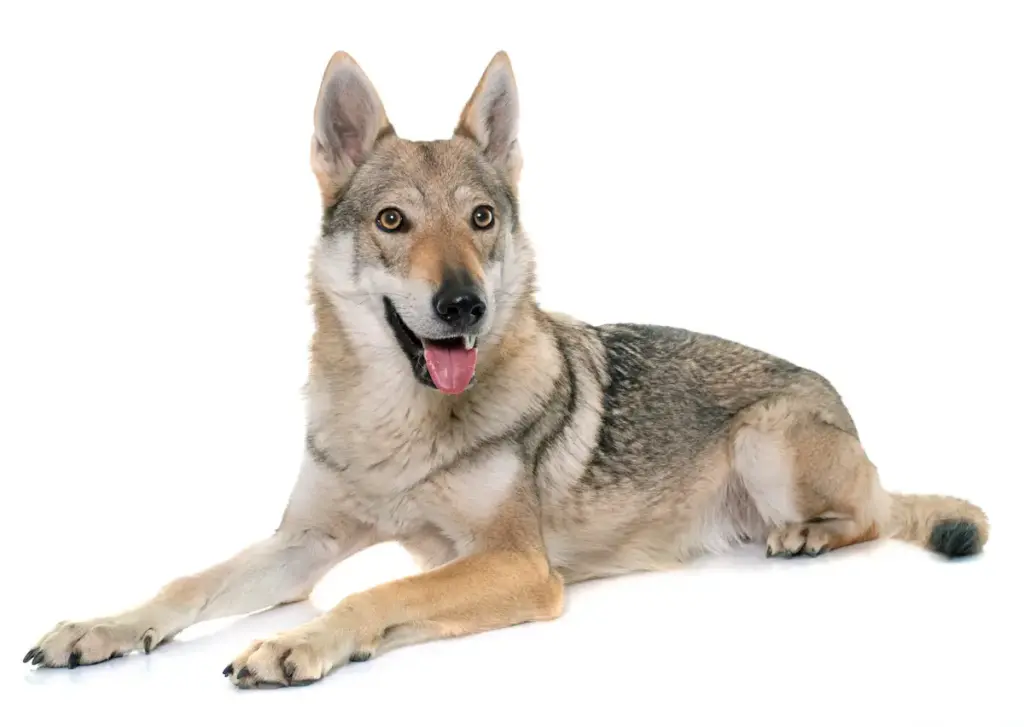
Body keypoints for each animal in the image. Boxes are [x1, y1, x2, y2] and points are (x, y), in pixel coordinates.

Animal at [22, 51, 983, 688]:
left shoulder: (520, 565)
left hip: (764, 441)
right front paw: (101, 627)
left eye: (482, 217)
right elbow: (188, 582)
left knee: (873, 515)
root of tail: (845, 409)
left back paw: (809, 534)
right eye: (395, 222)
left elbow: (387, 588)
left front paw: (308, 641)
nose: (463, 305)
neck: (396, 422)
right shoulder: (307, 543)